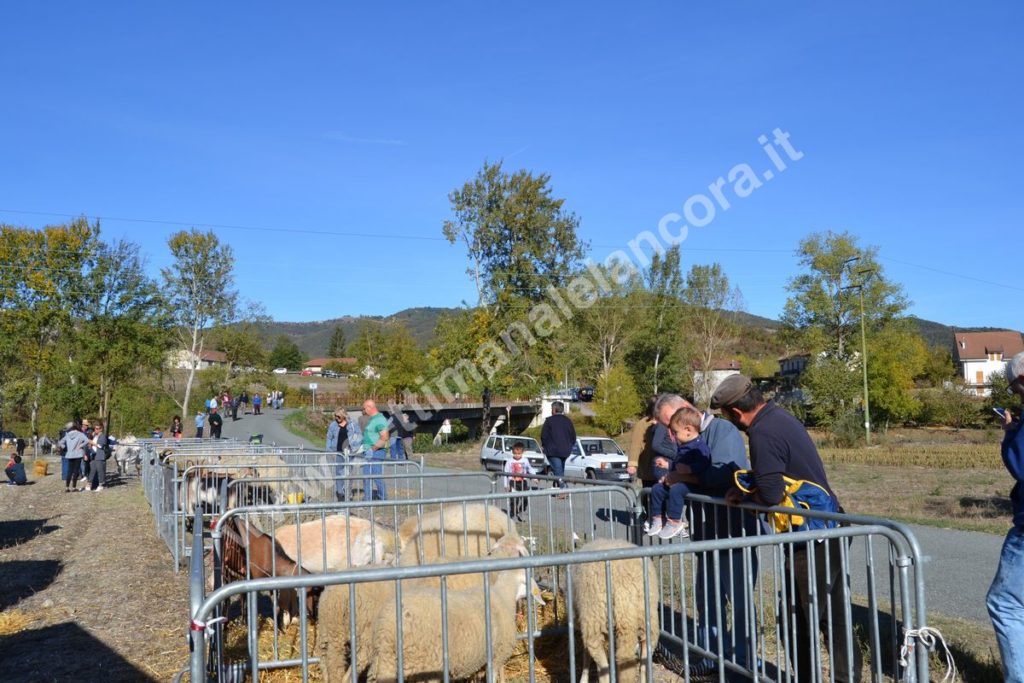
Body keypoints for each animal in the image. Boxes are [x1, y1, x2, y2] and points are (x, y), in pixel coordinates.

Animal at [573, 540, 659, 683]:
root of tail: (625, 587)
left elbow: (586, 654)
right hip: (647, 619)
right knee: (644, 661)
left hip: (594, 618)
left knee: (602, 666)